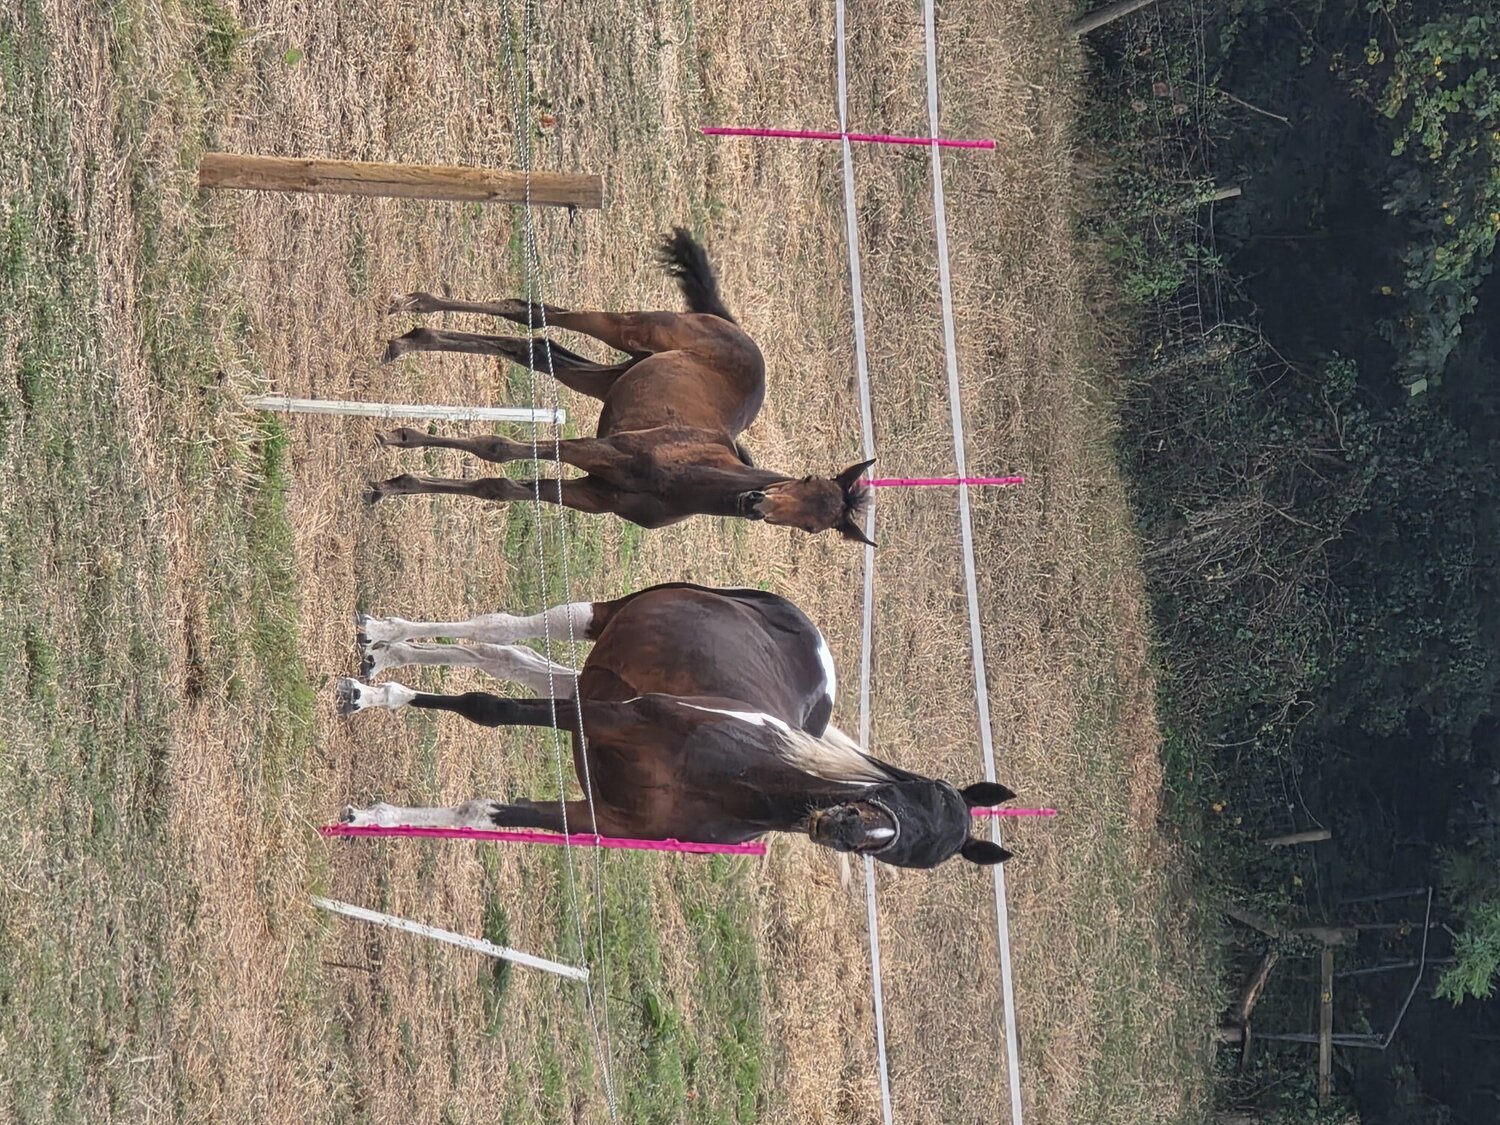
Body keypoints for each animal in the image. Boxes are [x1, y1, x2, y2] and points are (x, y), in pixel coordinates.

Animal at [337, 582, 1015, 868]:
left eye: (915, 859)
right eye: (906, 793)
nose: (846, 829)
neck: (736, 779)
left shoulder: (601, 819)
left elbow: (480, 813)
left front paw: (372, 819)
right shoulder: (612, 717)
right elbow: (487, 709)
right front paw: (372, 697)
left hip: (596, 675)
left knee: (508, 658)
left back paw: (387, 653)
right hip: (604, 621)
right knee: (508, 631)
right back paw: (382, 647)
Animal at [365, 228, 876, 544]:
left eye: (814, 528)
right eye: (807, 478)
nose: (756, 503)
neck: (685, 480)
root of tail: (734, 329)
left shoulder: (592, 494)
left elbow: (498, 486)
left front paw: (393, 483)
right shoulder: (599, 450)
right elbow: (499, 447)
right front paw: (399, 439)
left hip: (611, 377)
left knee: (534, 346)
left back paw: (414, 337)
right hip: (631, 330)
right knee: (534, 313)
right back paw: (413, 311)